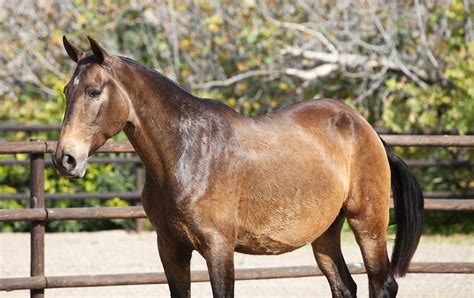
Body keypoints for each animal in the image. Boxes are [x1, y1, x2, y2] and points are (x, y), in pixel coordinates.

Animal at [53, 36, 424, 298]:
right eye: (67, 90)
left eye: (94, 91)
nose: (65, 158)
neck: (187, 153)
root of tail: (366, 129)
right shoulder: (170, 248)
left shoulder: (219, 248)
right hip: (325, 233)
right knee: (344, 286)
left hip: (367, 222)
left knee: (382, 285)